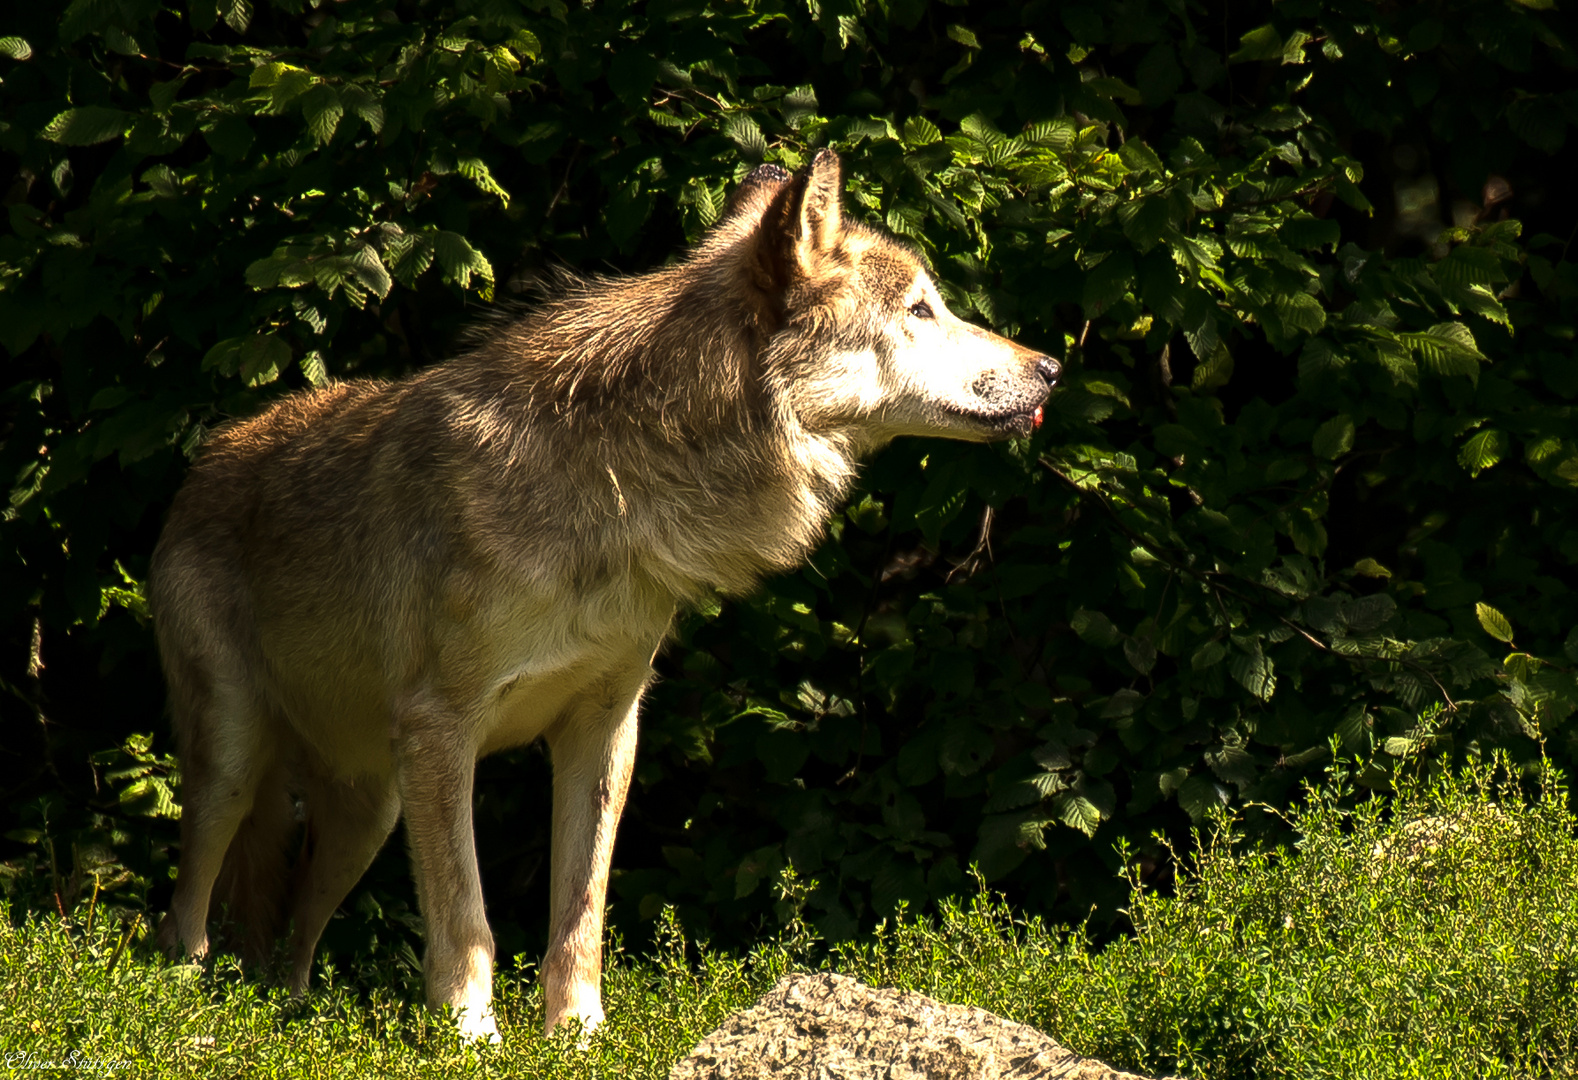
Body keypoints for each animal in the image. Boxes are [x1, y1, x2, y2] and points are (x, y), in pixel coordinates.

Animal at [150, 147, 1060, 1042]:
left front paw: (578, 1036)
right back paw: (184, 1015)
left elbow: (580, 914)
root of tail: (206, 461)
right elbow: (469, 918)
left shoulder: (605, 728)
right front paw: (472, 1040)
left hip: (368, 813)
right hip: (238, 764)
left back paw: (285, 1015)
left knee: (288, 935)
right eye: (921, 309)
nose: (1051, 367)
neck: (617, 486)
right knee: (185, 911)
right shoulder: (442, 732)